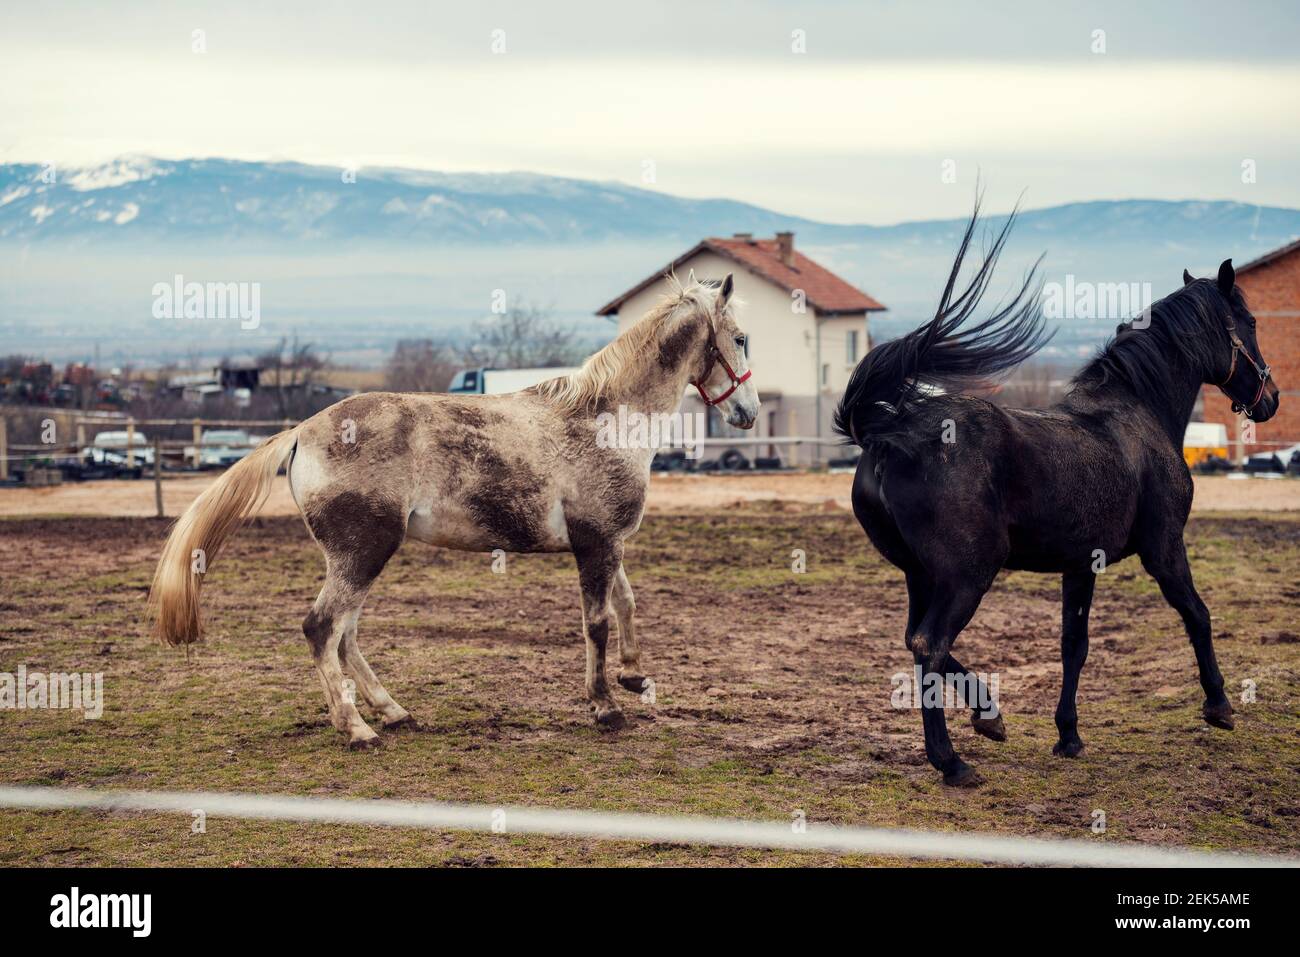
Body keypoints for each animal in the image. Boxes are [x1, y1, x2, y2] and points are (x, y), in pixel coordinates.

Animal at [149, 274, 758, 748]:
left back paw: (392, 711)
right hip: (363, 552)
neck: (606, 418)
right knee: (323, 628)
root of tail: (302, 431)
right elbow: (598, 622)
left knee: (345, 634)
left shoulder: (607, 541)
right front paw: (605, 707)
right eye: (742, 337)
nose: (748, 413)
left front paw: (634, 677)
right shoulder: (596, 543)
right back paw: (357, 728)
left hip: (358, 557)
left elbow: (627, 603)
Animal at [832, 204, 1279, 786]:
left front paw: (1068, 735)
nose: (1271, 399)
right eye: (1249, 323)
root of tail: (887, 435)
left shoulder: (1080, 565)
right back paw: (953, 762)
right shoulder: (1164, 549)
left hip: (920, 573)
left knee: (916, 642)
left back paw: (988, 716)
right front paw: (1219, 705)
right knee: (930, 644)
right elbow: (1198, 614)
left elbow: (1074, 646)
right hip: (967, 573)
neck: (1139, 414)